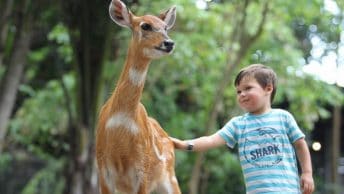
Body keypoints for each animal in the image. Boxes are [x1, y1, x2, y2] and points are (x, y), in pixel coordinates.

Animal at [94, 0, 180, 194]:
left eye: (165, 27)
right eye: (145, 25)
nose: (169, 43)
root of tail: (171, 140)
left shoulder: (142, 170)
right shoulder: (103, 169)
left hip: (169, 177)